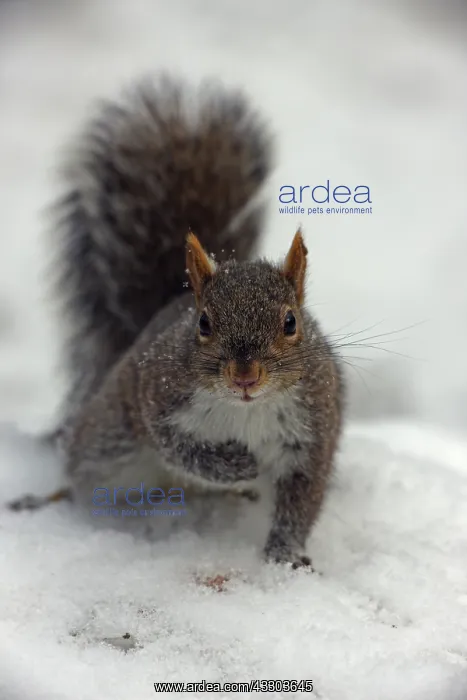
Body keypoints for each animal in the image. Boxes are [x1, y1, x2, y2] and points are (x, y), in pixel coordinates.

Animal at [11, 75, 344, 568]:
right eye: (203, 323)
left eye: (290, 322)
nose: (245, 376)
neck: (245, 409)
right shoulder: (155, 396)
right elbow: (182, 450)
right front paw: (237, 466)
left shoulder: (313, 431)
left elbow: (302, 499)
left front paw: (285, 555)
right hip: (108, 438)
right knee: (80, 473)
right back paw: (46, 499)